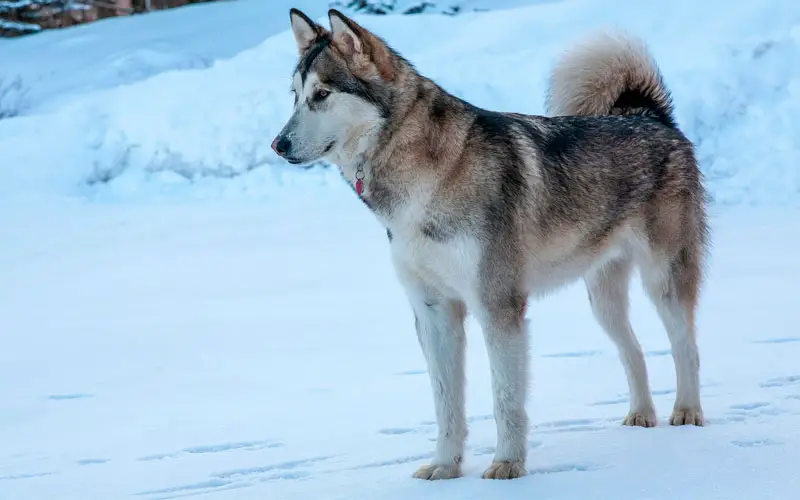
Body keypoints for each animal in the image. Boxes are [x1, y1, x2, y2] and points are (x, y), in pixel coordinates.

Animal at [274, 8, 708, 480]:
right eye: (294, 96)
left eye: (321, 94)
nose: (278, 144)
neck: (427, 180)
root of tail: (649, 116)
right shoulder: (434, 312)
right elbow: (446, 404)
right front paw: (444, 467)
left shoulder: (497, 306)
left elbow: (505, 399)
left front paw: (507, 465)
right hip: (602, 298)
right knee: (634, 351)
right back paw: (641, 416)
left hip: (663, 280)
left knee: (686, 346)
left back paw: (687, 414)